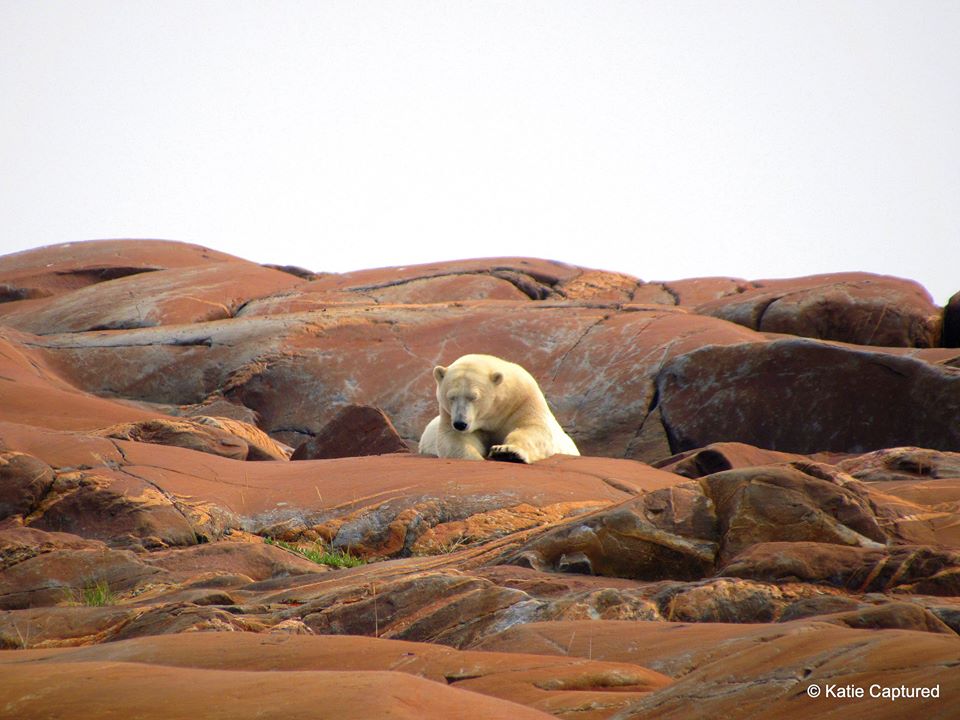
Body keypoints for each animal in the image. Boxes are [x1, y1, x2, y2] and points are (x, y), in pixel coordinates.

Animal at [418, 353, 580, 463]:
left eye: (473, 397)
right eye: (451, 397)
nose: (460, 424)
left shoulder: (524, 399)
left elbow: (533, 429)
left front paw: (506, 451)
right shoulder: (448, 414)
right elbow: (453, 438)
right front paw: (476, 457)